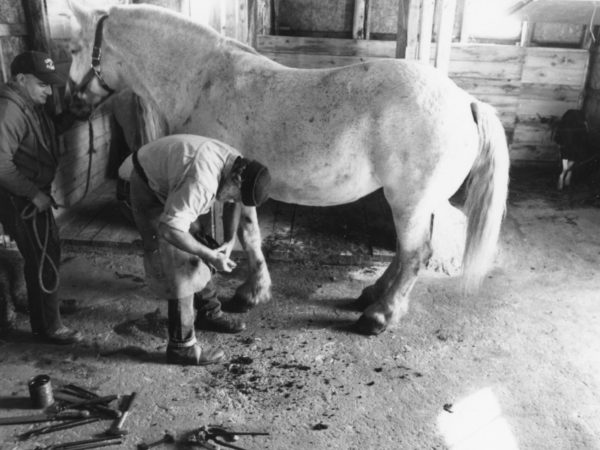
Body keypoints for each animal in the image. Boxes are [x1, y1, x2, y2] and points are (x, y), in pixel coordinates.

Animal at [64, 1, 506, 336]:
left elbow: (242, 235)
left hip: (409, 201)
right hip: (409, 202)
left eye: (71, 49)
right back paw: (372, 295)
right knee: (404, 253)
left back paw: (380, 315)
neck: (204, 82)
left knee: (415, 253)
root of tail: (466, 101)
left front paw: (248, 294)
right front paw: (254, 290)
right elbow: (248, 234)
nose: (70, 106)